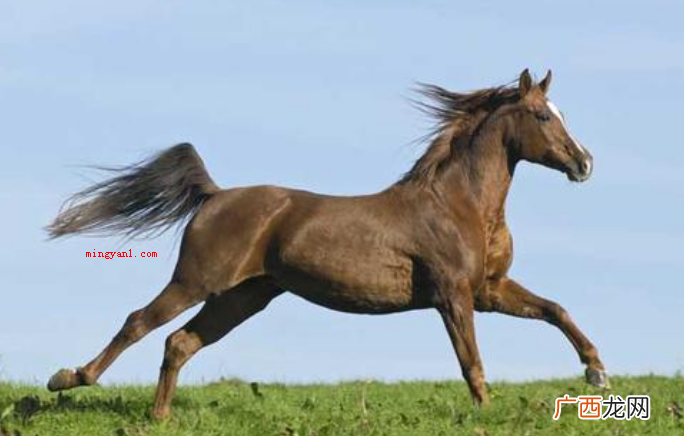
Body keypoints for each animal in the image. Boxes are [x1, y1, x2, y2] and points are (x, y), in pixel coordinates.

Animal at [46, 69, 606, 419]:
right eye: (543, 116)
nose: (584, 163)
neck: (458, 205)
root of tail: (216, 195)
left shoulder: (489, 289)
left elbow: (555, 309)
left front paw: (596, 372)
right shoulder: (453, 295)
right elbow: (471, 359)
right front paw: (486, 413)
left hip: (243, 297)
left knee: (179, 343)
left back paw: (159, 417)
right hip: (196, 281)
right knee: (138, 323)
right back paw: (67, 379)